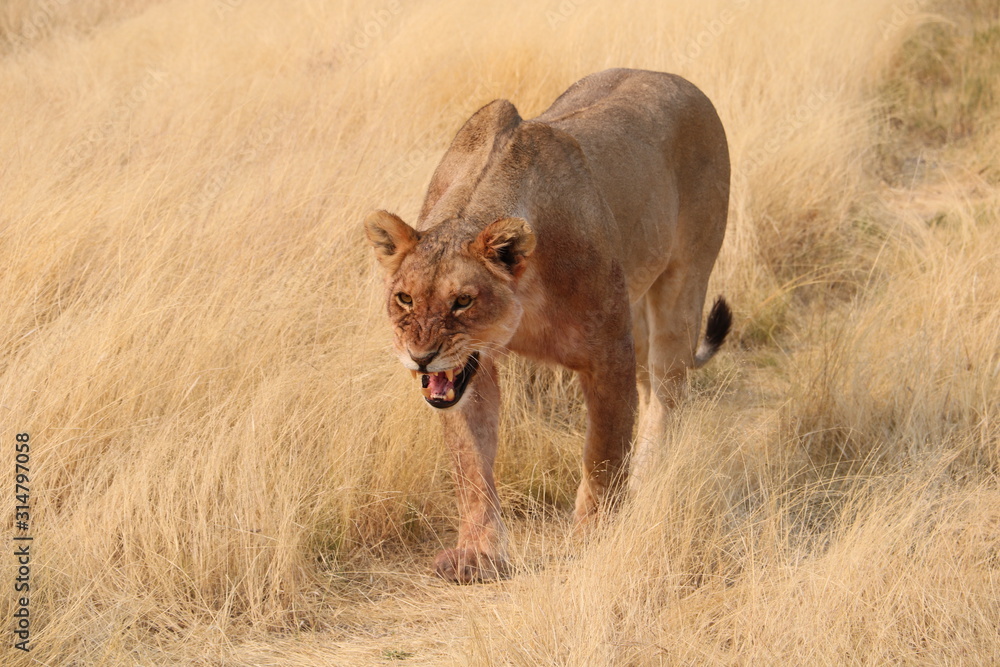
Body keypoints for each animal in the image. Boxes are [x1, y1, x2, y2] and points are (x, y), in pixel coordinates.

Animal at [365, 68, 732, 583]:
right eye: (405, 298)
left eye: (462, 301)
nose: (420, 358)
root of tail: (674, 78)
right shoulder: (471, 372)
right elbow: (471, 465)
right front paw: (478, 554)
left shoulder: (607, 354)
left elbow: (602, 453)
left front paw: (595, 535)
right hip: (636, 305)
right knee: (650, 390)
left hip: (682, 285)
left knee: (668, 390)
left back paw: (648, 478)